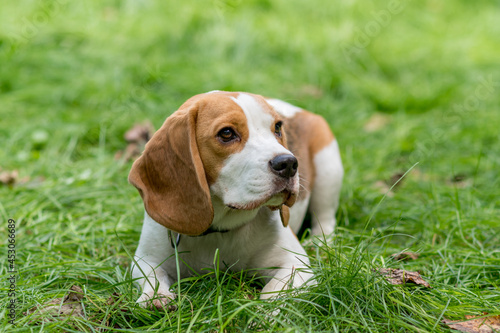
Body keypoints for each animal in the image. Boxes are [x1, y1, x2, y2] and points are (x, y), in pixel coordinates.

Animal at [129, 91, 344, 308]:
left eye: (277, 127)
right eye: (226, 133)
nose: (289, 163)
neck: (219, 229)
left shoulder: (296, 265)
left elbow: (274, 292)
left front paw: (266, 310)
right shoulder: (145, 258)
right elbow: (152, 277)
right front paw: (156, 298)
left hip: (328, 170)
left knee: (325, 219)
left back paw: (319, 242)